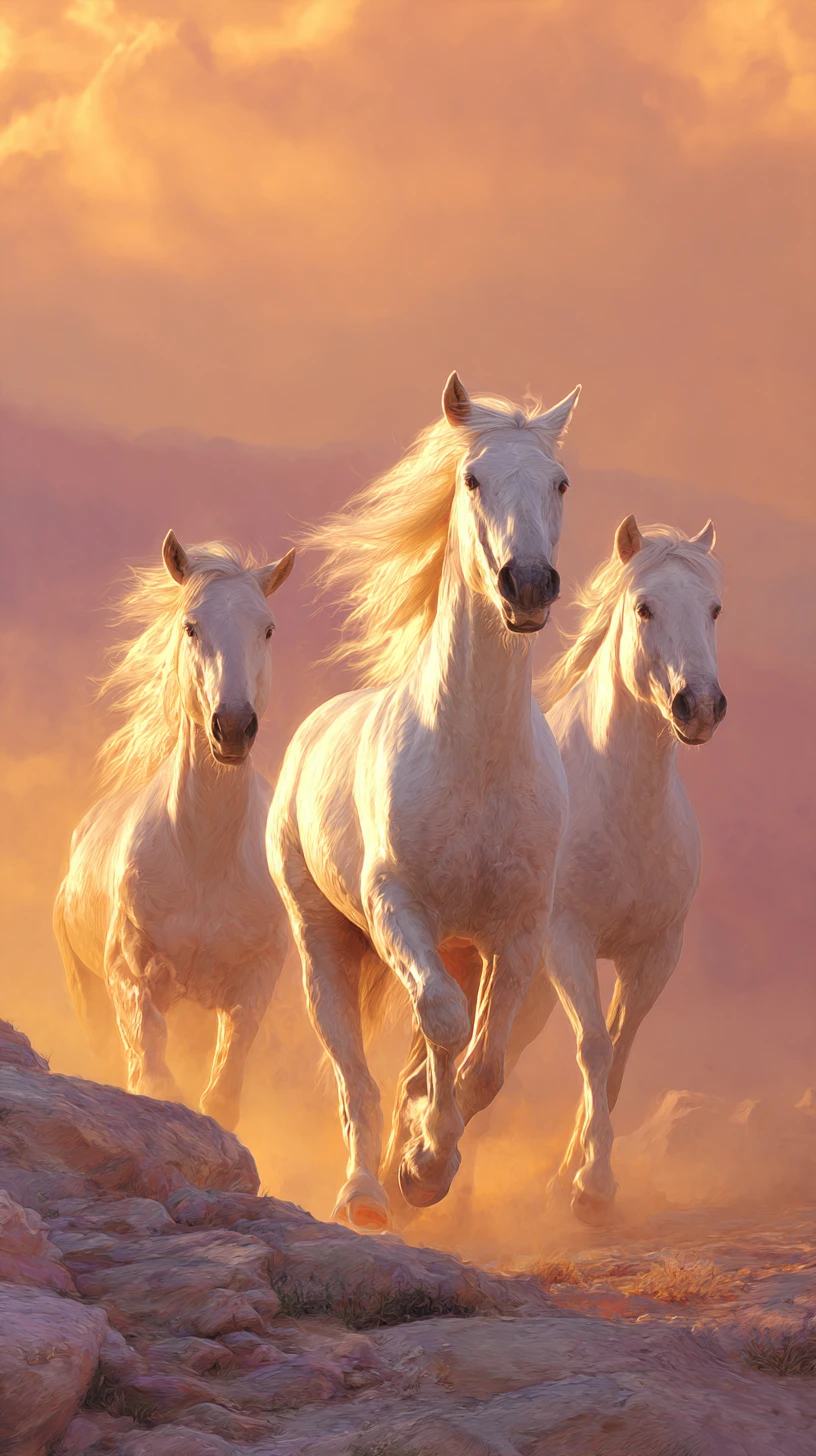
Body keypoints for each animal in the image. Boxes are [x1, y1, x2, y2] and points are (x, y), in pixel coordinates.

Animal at [54, 532, 295, 1131]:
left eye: (267, 628)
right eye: (191, 626)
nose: (232, 727)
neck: (204, 858)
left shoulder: (252, 983)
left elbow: (221, 1096)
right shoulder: (131, 979)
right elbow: (153, 1079)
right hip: (87, 992)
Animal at [267, 371, 580, 1233]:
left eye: (559, 483)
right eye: (472, 479)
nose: (528, 584)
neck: (474, 762)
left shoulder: (518, 932)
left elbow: (485, 1064)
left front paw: (428, 1163)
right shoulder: (398, 909)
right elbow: (441, 1023)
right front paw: (422, 1164)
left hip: (462, 946)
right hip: (324, 946)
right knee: (353, 1075)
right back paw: (366, 1195)